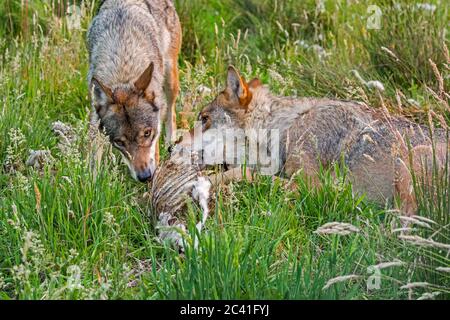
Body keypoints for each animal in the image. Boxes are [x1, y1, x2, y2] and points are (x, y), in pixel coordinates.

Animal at [86, 0, 181, 181]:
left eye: (147, 133)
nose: (145, 176)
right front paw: (92, 183)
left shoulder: (155, 129)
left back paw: (171, 145)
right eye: (119, 142)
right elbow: (94, 156)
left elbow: (155, 154)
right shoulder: (96, 118)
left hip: (170, 79)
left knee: (171, 112)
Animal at [185, 65, 448, 215]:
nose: (174, 146)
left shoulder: (314, 188)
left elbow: (243, 173)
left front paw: (202, 184)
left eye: (204, 118)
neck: (288, 125)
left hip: (412, 159)